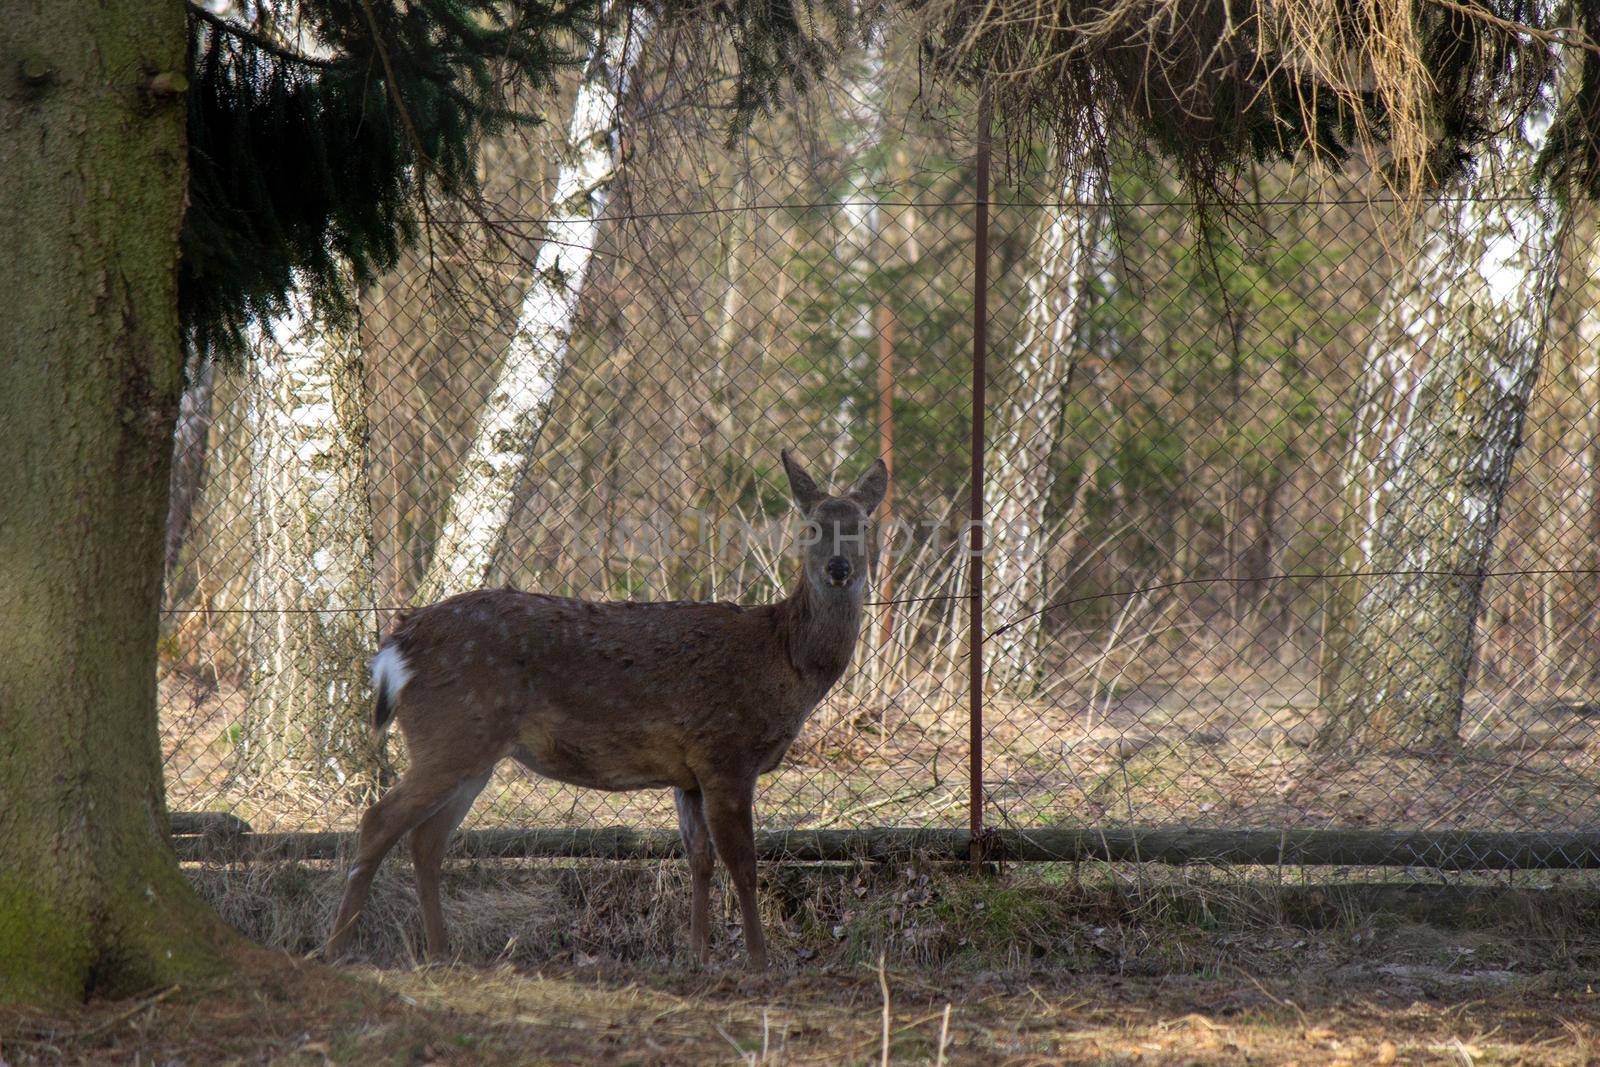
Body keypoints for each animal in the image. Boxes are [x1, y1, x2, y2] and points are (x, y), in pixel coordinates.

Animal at [323, 447, 889, 966]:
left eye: (862, 524)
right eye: (811, 526)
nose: (839, 567)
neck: (784, 661)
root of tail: (397, 646)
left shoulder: (688, 771)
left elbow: (699, 860)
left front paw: (698, 954)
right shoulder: (725, 753)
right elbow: (745, 865)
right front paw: (757, 960)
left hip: (471, 751)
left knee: (426, 841)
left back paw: (441, 953)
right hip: (452, 733)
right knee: (378, 821)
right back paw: (338, 947)